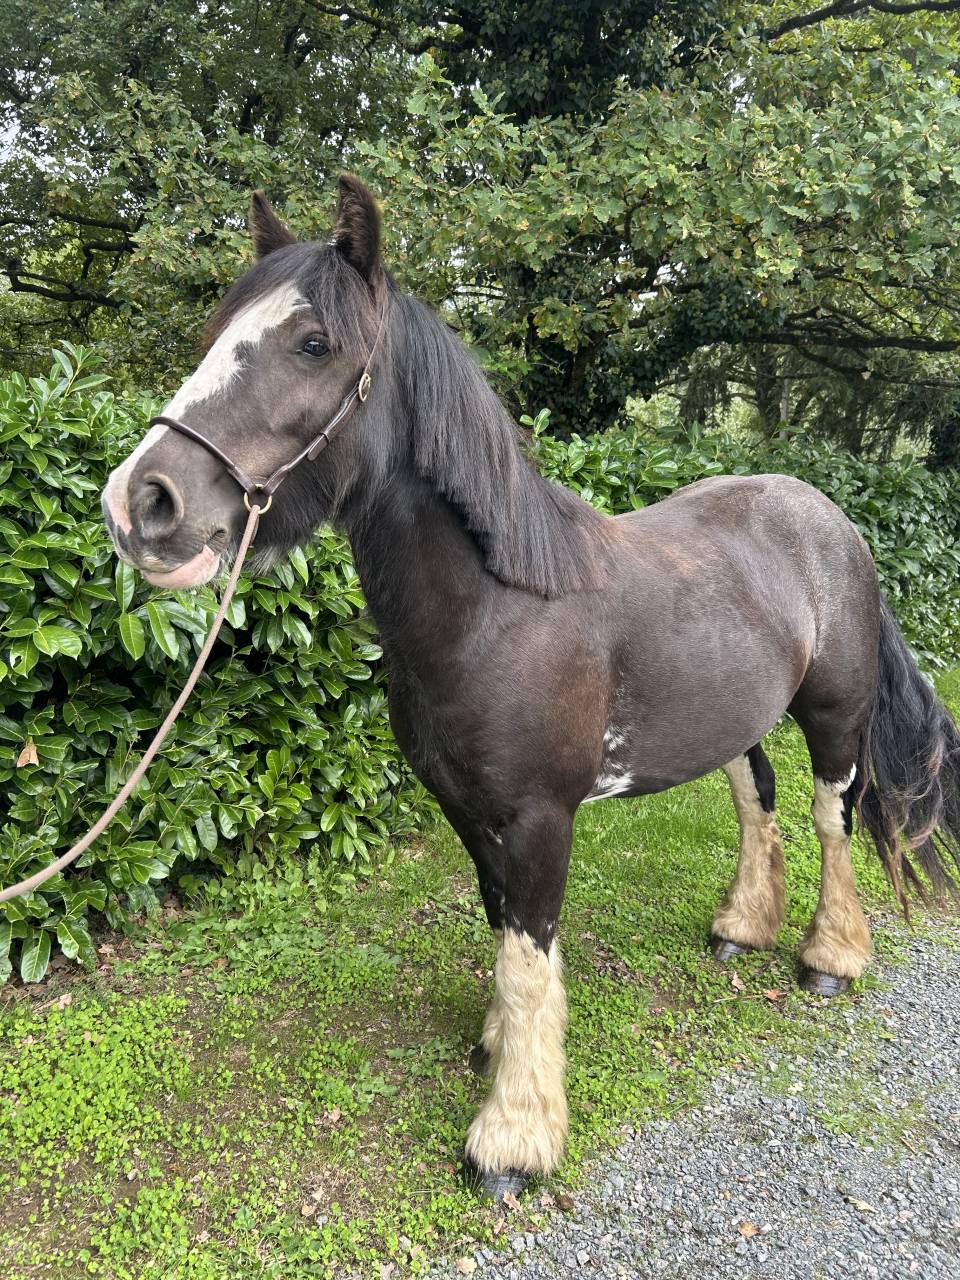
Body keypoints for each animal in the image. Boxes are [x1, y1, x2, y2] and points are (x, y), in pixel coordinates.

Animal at [101, 174, 960, 1199]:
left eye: (313, 343)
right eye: (217, 329)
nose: (141, 502)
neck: (497, 611)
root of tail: (829, 516)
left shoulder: (543, 818)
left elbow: (529, 946)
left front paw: (512, 1135)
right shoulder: (469, 810)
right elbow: (503, 929)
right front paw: (501, 1047)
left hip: (833, 715)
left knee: (834, 816)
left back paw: (829, 955)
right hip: (734, 719)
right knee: (757, 797)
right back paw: (742, 927)